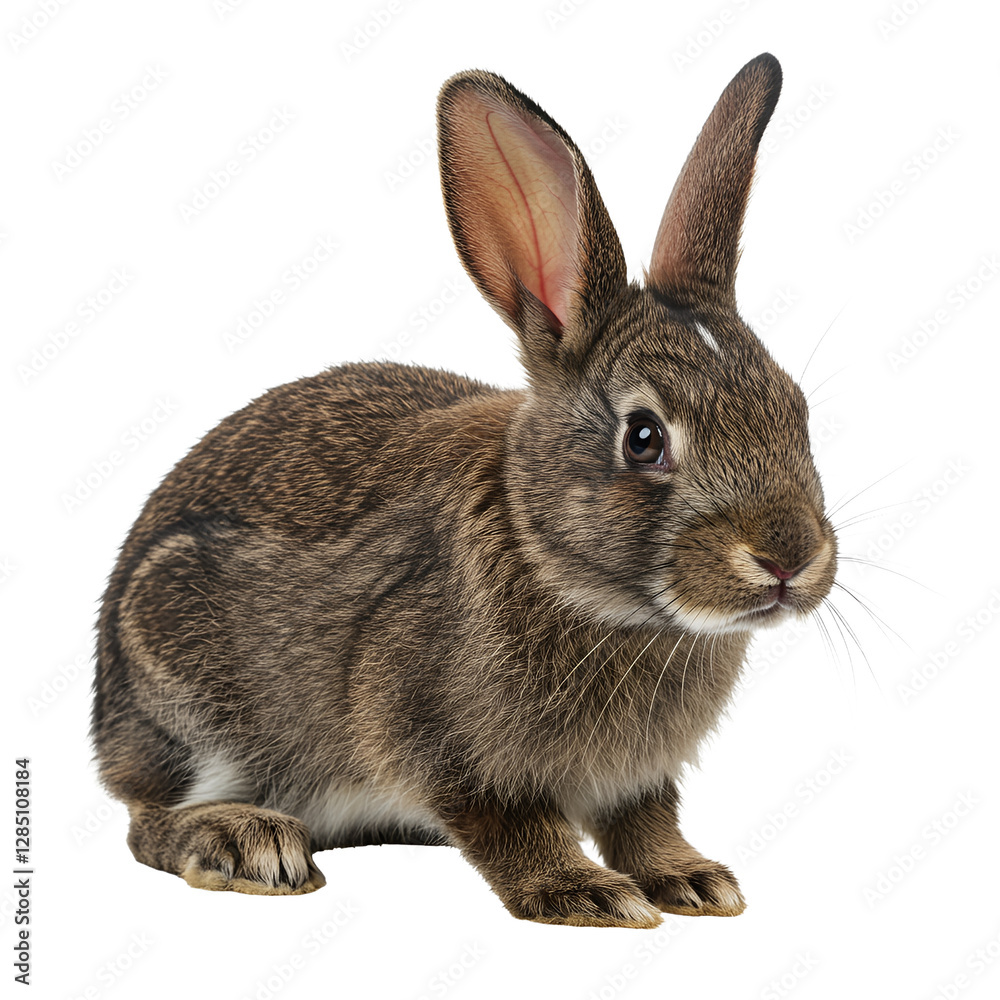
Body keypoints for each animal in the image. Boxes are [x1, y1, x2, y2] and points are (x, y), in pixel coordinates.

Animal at [91, 52, 837, 928]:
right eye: (644, 437)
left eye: (796, 409)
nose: (789, 558)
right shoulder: (436, 739)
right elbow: (510, 824)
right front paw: (585, 894)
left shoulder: (637, 783)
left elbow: (646, 822)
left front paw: (692, 880)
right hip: (185, 688)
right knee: (146, 819)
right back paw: (247, 843)